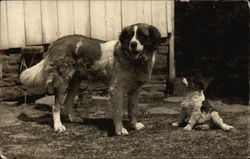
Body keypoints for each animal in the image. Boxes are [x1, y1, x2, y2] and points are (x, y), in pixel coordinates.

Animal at [19, 23, 161, 135]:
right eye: (130, 36)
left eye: (142, 36)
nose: (133, 44)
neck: (134, 61)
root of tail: (55, 42)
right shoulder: (116, 89)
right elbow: (119, 111)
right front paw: (119, 129)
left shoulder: (136, 89)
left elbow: (132, 109)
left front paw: (134, 125)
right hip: (62, 83)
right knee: (56, 106)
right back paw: (58, 126)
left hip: (75, 82)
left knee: (67, 102)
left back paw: (74, 118)